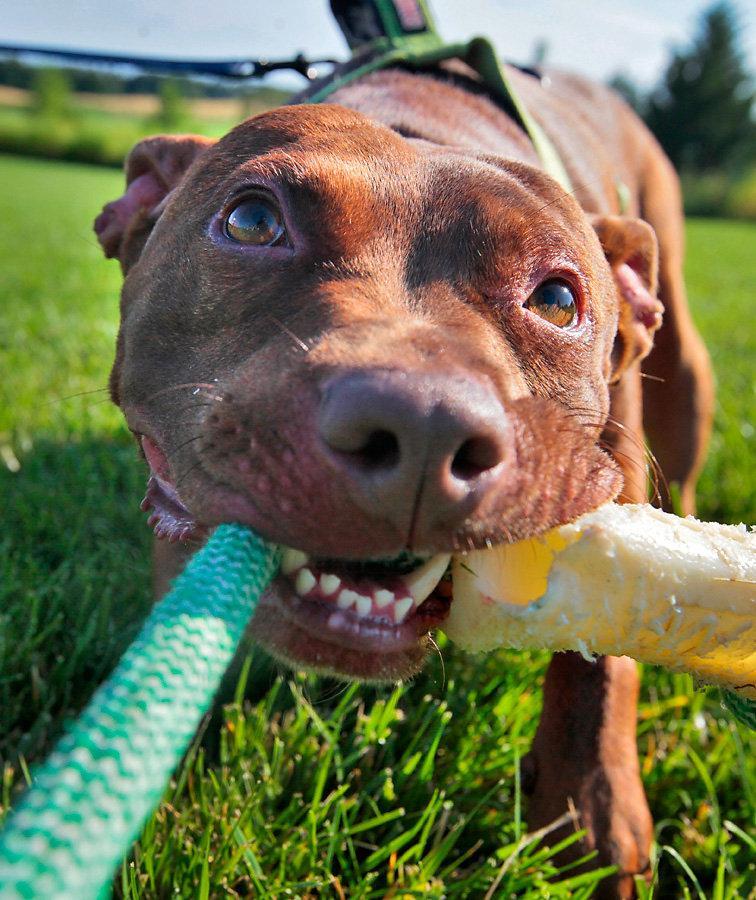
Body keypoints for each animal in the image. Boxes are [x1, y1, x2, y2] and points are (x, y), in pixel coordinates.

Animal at [94, 51, 716, 900]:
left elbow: (601, 659)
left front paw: (590, 812)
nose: (426, 426)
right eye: (251, 222)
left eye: (559, 298)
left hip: (681, 361)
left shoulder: (615, 460)